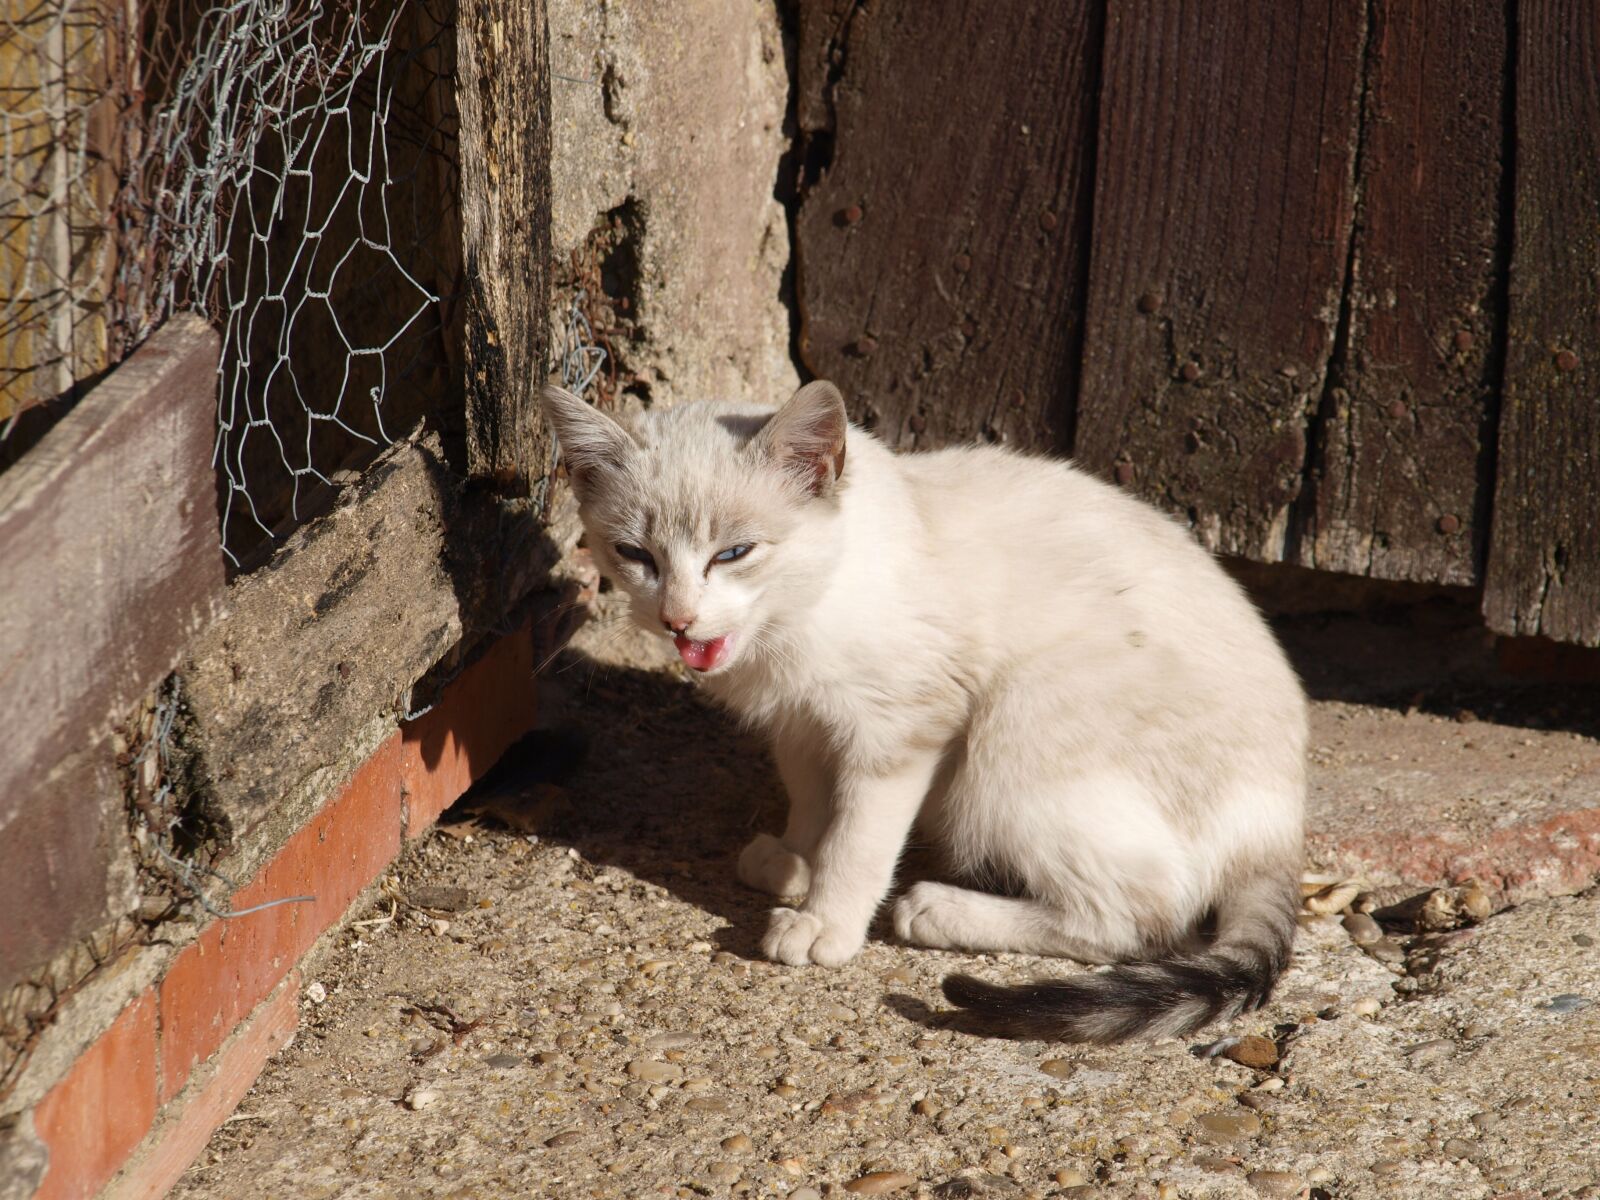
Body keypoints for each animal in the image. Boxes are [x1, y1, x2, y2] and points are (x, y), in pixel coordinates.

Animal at [544, 377, 1305, 1043]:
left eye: (734, 553)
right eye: (634, 554)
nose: (678, 620)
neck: (797, 619)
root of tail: (1279, 830)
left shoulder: (900, 728)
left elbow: (858, 842)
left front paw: (825, 920)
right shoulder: (802, 726)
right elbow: (813, 801)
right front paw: (794, 861)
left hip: (1011, 736)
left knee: (1144, 917)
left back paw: (938, 910)